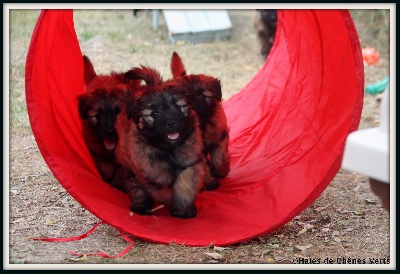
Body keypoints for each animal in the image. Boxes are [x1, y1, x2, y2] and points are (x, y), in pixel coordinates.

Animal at [114, 68, 205, 218]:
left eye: (178, 107)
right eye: (154, 113)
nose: (171, 122)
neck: (169, 150)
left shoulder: (193, 161)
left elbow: (187, 181)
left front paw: (183, 204)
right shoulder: (152, 176)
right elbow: (165, 194)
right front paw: (178, 208)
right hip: (129, 168)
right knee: (135, 186)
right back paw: (140, 205)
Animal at [170, 51, 231, 189]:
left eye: (204, 96)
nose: (195, 107)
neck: (202, 124)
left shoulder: (220, 136)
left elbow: (220, 158)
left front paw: (221, 171)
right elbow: (203, 165)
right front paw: (210, 181)